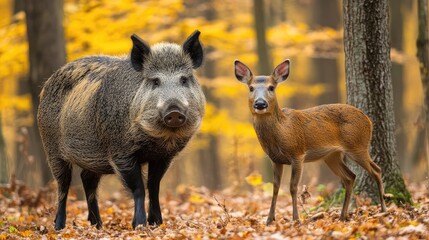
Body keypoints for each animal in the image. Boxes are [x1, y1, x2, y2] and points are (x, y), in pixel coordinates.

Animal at [232, 59, 386, 224]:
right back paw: (342, 216)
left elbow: (293, 186)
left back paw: (383, 210)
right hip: (332, 156)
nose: (260, 103)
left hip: (358, 145)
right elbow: (275, 187)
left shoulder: (297, 154)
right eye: (251, 88)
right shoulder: (275, 159)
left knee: (376, 170)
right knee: (350, 177)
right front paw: (269, 220)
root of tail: (368, 120)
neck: (282, 131)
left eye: (271, 87)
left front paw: (296, 219)